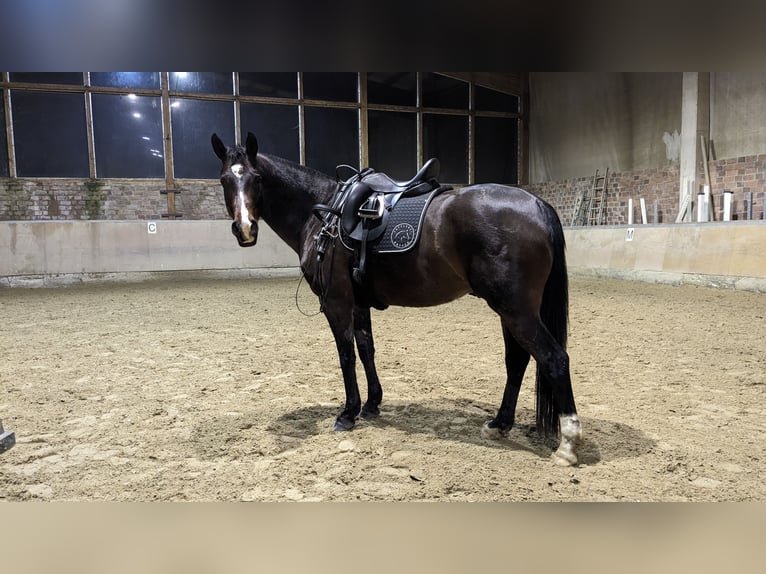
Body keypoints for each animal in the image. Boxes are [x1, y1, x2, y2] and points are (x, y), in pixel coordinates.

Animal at [210, 134, 584, 468]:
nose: (245, 229)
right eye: (225, 179)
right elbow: (366, 349)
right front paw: (371, 405)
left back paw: (567, 445)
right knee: (517, 361)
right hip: (511, 312)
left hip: (517, 311)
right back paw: (499, 424)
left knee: (554, 359)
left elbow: (346, 355)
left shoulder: (336, 302)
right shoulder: (359, 303)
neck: (324, 213)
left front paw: (348, 412)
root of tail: (536, 204)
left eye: (257, 179)